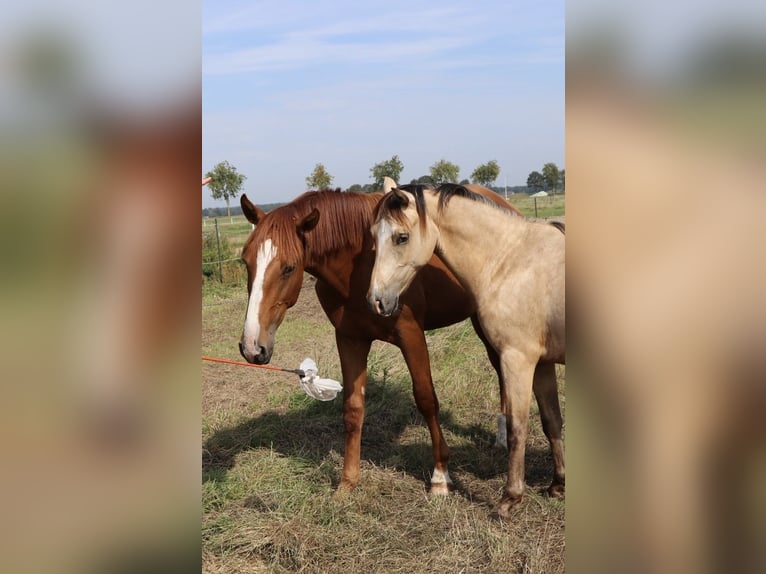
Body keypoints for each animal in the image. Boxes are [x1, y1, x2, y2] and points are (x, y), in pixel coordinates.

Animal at [240, 187, 536, 498]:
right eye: (245, 261)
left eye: (288, 268)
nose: (252, 347)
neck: (358, 266)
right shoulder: (350, 338)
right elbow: (353, 408)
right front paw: (347, 482)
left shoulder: (411, 334)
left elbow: (426, 399)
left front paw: (440, 476)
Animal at [368, 186, 568, 520]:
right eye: (373, 235)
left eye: (401, 237)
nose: (376, 301)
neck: (510, 262)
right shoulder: (542, 364)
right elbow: (551, 421)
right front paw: (558, 486)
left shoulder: (518, 360)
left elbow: (517, 428)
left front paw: (509, 499)